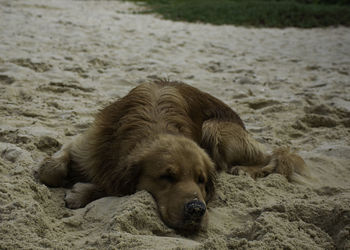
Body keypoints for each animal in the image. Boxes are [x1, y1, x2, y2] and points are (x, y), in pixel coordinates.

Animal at [37, 79, 308, 232]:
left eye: (201, 180)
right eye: (167, 177)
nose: (197, 210)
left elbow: (116, 188)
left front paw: (81, 192)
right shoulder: (86, 145)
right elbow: (51, 170)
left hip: (215, 128)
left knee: (275, 156)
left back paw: (243, 170)